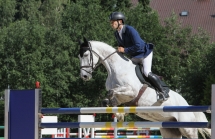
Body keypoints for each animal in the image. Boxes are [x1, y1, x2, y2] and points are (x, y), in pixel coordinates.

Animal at [78, 37, 211, 138]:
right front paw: (118, 113)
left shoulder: (131, 92)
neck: (115, 68)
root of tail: (188, 106)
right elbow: (109, 99)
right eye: (79, 57)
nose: (84, 76)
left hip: (188, 128)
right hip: (170, 129)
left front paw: (119, 114)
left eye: (85, 54)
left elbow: (112, 92)